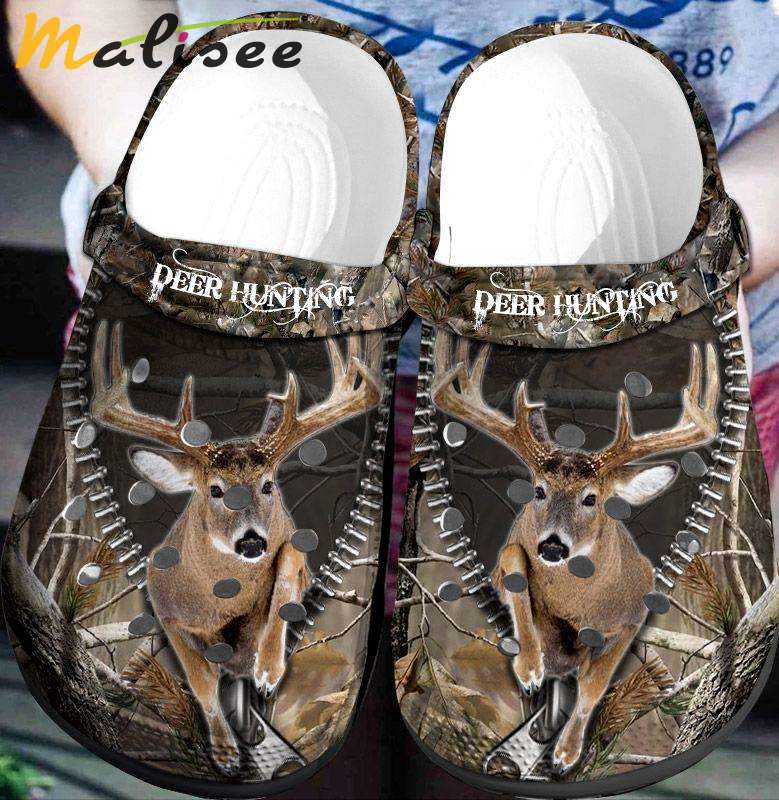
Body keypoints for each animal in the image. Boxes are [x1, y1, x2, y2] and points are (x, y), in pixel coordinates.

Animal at [89, 321, 381, 772]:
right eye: (215, 489)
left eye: (268, 484)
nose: (251, 541)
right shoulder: (169, 615)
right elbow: (202, 684)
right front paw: (225, 752)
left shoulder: (293, 551)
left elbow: (287, 571)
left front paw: (268, 670)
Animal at [432, 332, 719, 772]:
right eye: (538, 491)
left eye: (590, 498)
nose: (552, 545)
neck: (577, 607)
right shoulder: (509, 559)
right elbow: (514, 568)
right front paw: (530, 668)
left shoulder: (632, 617)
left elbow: (594, 686)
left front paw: (566, 753)